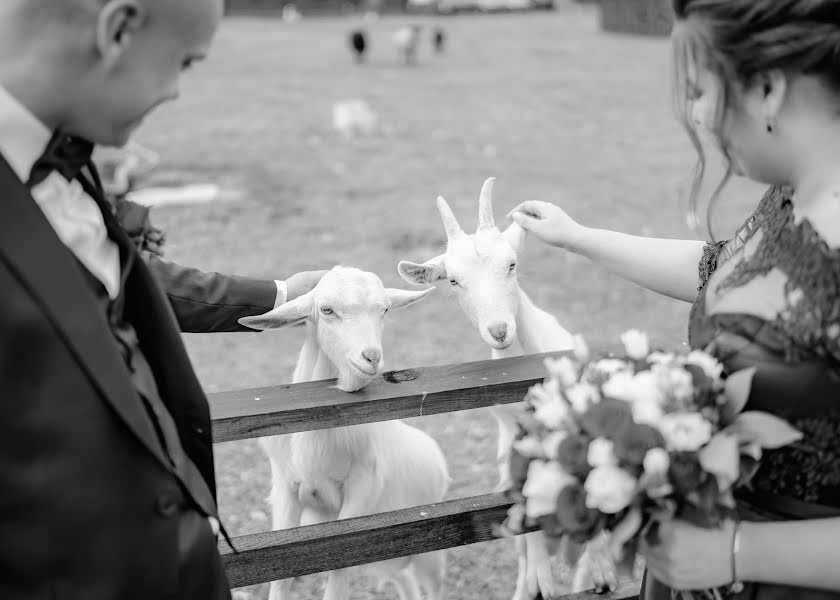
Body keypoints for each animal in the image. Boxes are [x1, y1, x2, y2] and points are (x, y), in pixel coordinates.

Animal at [240, 268, 450, 600]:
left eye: (385, 310)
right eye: (327, 310)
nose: (371, 357)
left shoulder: (362, 487)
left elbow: (340, 567)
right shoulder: (285, 487)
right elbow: (282, 573)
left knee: (433, 581)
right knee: (402, 577)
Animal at [398, 180, 612, 600]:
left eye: (512, 264)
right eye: (453, 280)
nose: (499, 330)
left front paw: (598, 570)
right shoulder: (514, 439)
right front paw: (542, 580)